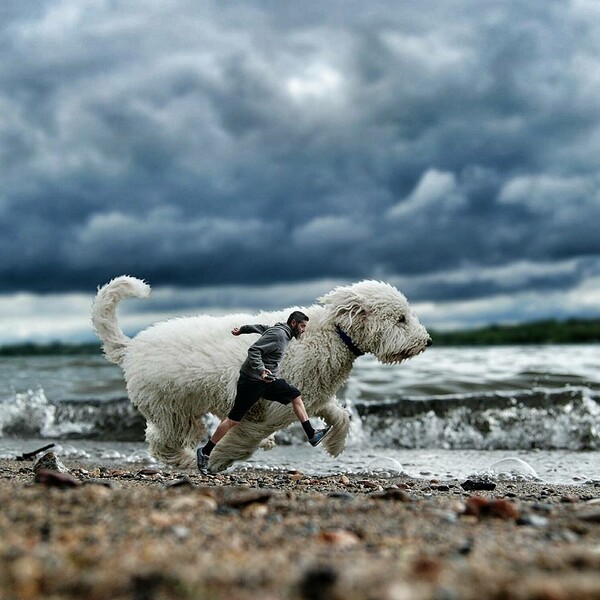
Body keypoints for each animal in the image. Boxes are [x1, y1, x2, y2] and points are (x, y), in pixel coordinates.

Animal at [92, 274, 432, 472]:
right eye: (401, 319)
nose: (427, 341)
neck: (331, 333)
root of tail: (130, 348)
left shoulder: (313, 395)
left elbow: (340, 415)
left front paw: (334, 445)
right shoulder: (271, 411)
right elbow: (243, 440)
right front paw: (217, 460)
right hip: (169, 408)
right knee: (162, 443)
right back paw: (189, 460)